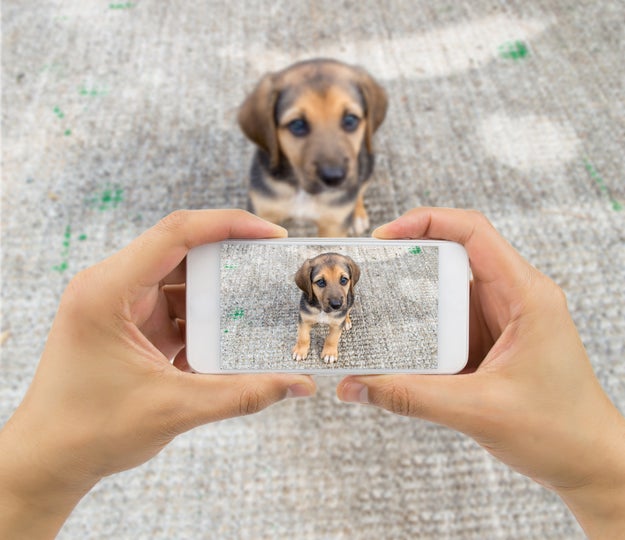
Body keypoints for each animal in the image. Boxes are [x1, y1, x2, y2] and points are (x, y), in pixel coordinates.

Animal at [238, 58, 388, 237]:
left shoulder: (334, 225)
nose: (334, 178)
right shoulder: (262, 212)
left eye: (350, 120)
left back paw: (357, 215)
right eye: (297, 125)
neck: (302, 192)